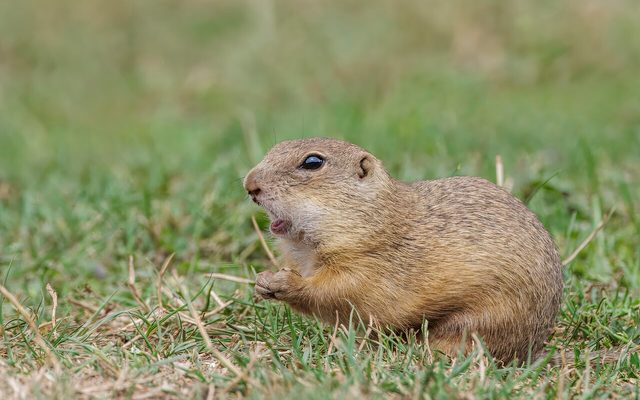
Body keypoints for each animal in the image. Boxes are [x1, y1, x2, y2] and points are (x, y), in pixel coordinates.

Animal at [244, 137, 563, 363]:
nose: (249, 184)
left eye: (312, 162)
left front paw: (283, 282)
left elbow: (338, 292)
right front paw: (262, 280)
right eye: (274, 148)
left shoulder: (369, 265)